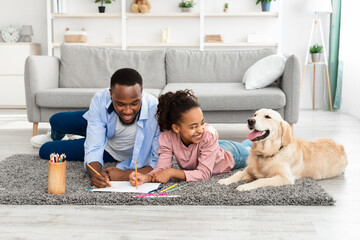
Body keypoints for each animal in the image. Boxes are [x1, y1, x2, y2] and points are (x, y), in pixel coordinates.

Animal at [218, 109, 348, 191]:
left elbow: (261, 180)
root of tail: (340, 146)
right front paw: (225, 180)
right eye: (255, 115)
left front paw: (245, 186)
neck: (267, 152)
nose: (250, 120)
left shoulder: (285, 177)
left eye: (267, 116)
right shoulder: (249, 170)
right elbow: (238, 173)